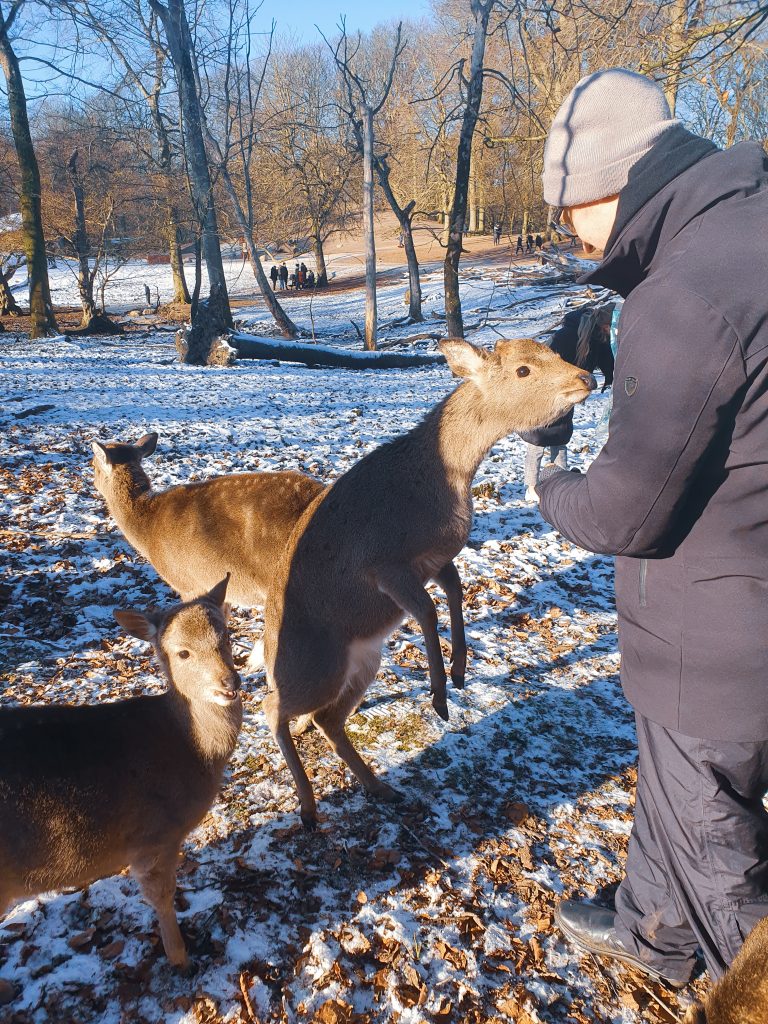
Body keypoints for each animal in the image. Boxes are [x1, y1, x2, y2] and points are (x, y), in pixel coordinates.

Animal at [0, 578, 241, 970]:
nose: (229, 683)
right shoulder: (154, 835)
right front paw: (180, 956)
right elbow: (160, 894)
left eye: (227, 635)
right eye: (183, 653)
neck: (188, 748)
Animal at [262, 337, 597, 828]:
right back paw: (307, 805)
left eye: (551, 351)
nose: (586, 377)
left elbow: (454, 593)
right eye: (523, 370)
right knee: (271, 709)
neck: (445, 482)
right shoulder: (384, 564)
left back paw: (379, 787)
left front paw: (458, 671)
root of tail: (267, 656)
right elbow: (427, 609)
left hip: (362, 664)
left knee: (327, 719)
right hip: (313, 667)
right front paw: (439, 696)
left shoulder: (437, 557)